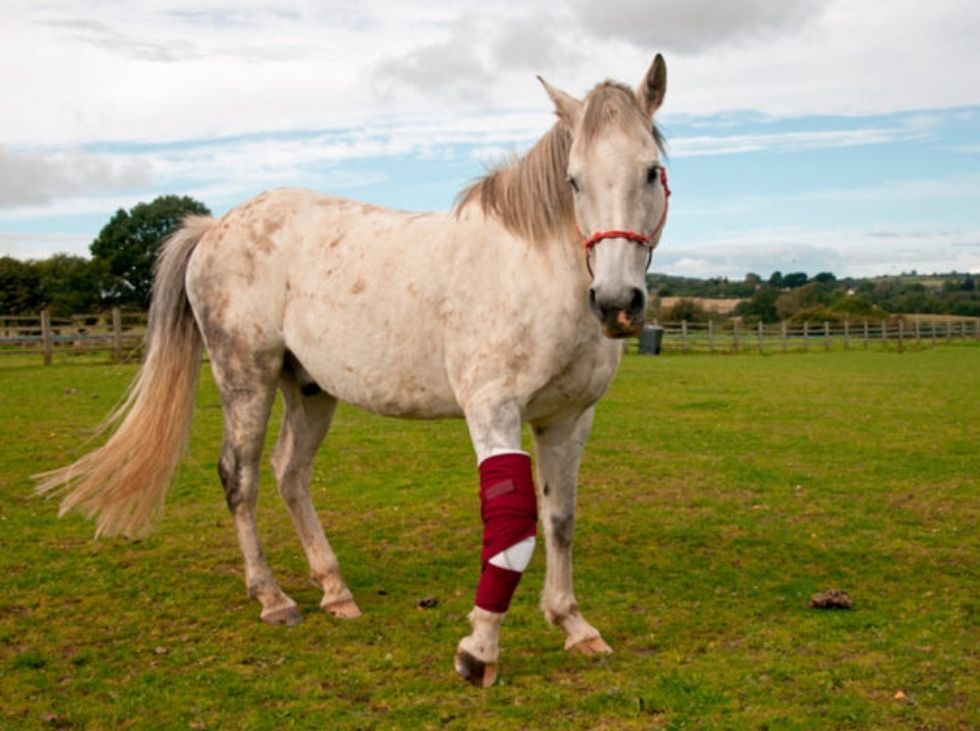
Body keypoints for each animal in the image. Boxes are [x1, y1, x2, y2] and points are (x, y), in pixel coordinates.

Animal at [36, 54, 669, 688]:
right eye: (574, 180)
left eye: (651, 171)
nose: (617, 302)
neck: (534, 271)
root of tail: (214, 228)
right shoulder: (493, 409)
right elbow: (511, 525)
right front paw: (479, 651)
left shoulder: (568, 418)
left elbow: (559, 517)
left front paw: (573, 625)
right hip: (245, 378)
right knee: (239, 476)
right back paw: (272, 597)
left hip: (310, 390)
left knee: (290, 473)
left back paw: (334, 590)